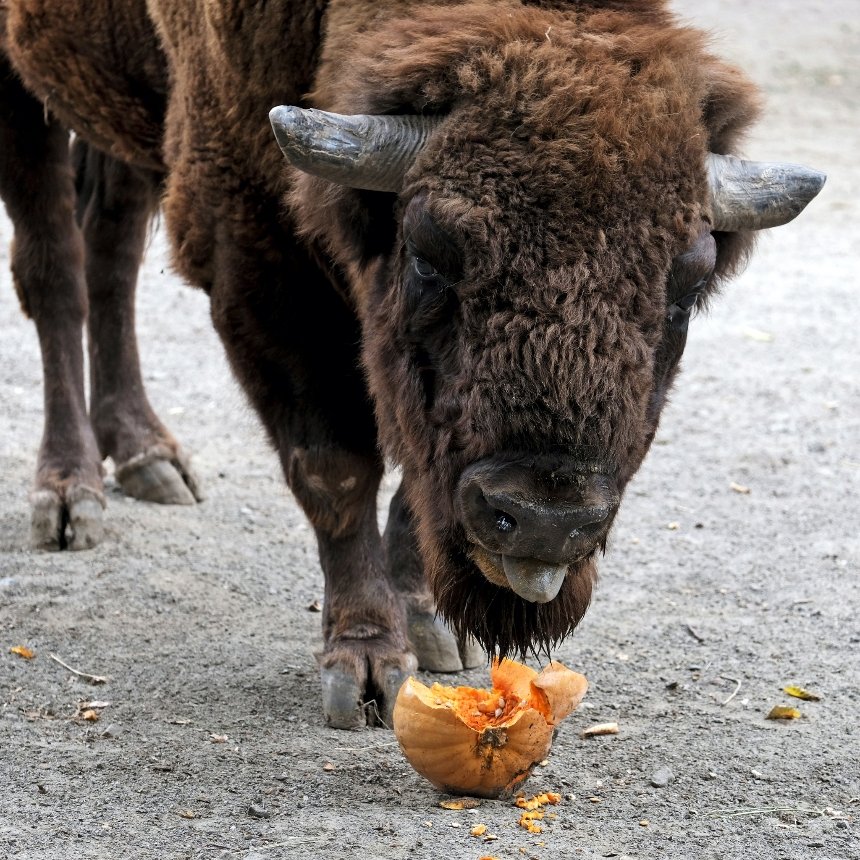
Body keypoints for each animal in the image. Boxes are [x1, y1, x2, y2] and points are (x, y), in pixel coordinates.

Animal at [0, 0, 820, 724]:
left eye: (691, 281)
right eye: (429, 248)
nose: (545, 520)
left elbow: (409, 483)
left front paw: (430, 627)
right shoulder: (254, 249)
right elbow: (335, 466)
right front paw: (364, 666)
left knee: (110, 246)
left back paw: (147, 456)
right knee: (56, 266)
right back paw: (69, 496)